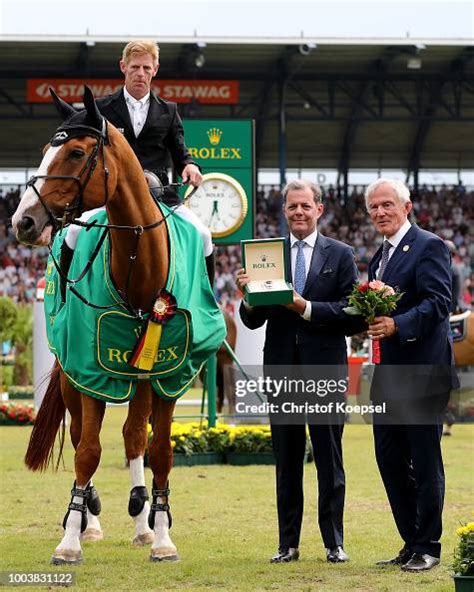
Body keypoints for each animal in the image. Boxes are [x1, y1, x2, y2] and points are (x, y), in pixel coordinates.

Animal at [11, 86, 225, 564]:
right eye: (45, 149)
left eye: (75, 152)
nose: (23, 222)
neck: (140, 268)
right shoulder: (91, 372)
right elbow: (88, 451)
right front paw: (71, 540)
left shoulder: (169, 374)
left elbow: (159, 451)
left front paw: (161, 538)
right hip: (73, 376)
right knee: (80, 441)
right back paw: (88, 519)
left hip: (141, 378)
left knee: (132, 438)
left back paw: (142, 521)